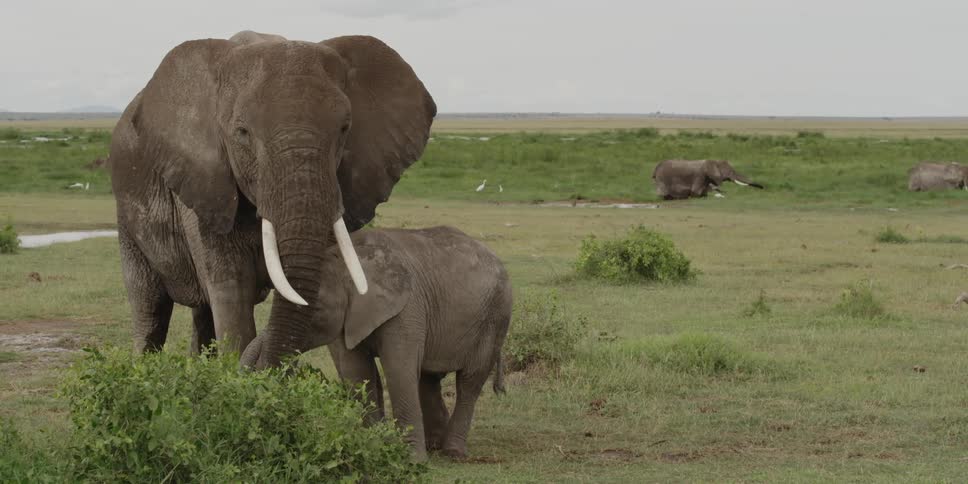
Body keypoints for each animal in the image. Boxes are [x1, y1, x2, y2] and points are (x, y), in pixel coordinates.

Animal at [240, 226, 513, 461]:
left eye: (315, 310)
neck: (351, 260)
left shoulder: (407, 308)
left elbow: (398, 370)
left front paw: (411, 461)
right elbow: (357, 372)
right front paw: (377, 447)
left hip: (495, 318)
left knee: (469, 382)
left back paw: (452, 453)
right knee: (429, 378)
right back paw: (434, 444)